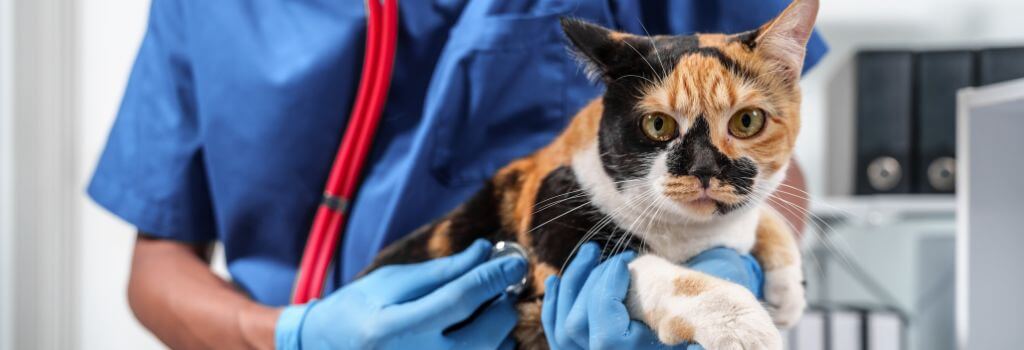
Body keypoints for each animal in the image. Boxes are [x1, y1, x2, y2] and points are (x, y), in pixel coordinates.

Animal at [364, 0, 819, 347]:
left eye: (747, 121)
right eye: (657, 125)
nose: (704, 168)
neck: (695, 234)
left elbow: (766, 215)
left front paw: (787, 292)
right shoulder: (560, 236)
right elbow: (660, 276)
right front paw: (743, 326)